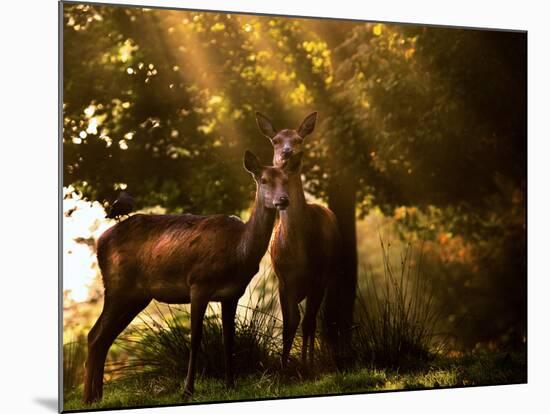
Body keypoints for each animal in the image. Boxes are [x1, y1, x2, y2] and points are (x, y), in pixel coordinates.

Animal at [82, 150, 302, 402]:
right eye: (264, 180)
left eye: (286, 180)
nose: (283, 200)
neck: (238, 250)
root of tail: (99, 242)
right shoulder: (198, 284)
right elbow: (195, 338)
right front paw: (187, 390)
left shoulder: (232, 294)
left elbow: (229, 339)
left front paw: (230, 384)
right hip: (117, 285)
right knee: (95, 334)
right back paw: (88, 397)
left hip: (136, 295)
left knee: (104, 337)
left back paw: (97, 396)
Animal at [256, 111, 342, 366]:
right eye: (275, 140)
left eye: (298, 139)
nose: (287, 152)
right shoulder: (283, 279)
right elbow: (289, 323)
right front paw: (284, 365)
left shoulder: (320, 275)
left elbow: (308, 323)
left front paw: (306, 364)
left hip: (330, 276)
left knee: (317, 320)